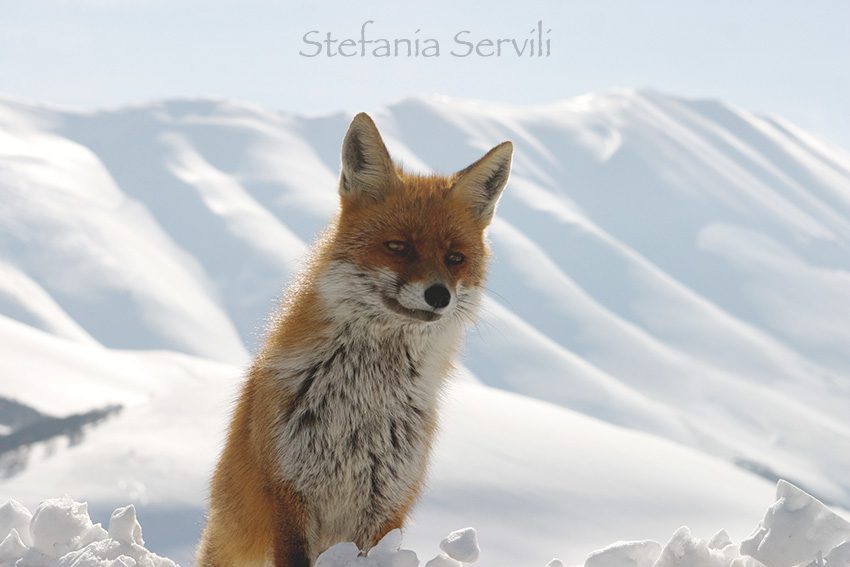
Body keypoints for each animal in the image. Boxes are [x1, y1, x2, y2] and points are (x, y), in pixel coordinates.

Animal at [197, 112, 513, 567]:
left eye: (456, 258)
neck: (363, 401)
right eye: (398, 247)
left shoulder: (386, 505)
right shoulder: (289, 492)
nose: (439, 295)